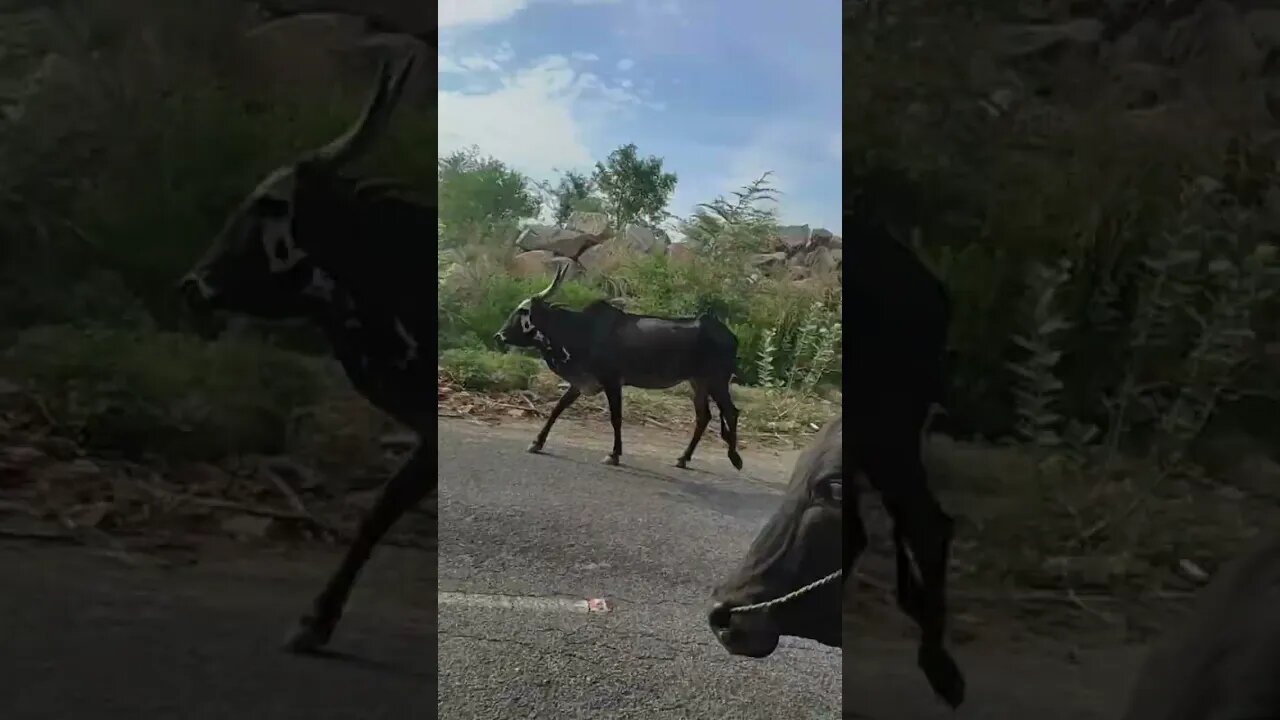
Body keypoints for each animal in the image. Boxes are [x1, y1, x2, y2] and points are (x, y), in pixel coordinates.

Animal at [175, 56, 437, 650]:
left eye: (269, 203)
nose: (192, 285)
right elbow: (382, 508)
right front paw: (318, 619)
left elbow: (382, 507)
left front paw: (317, 619)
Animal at [494, 263, 747, 471]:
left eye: (522, 312)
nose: (499, 335)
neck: (581, 330)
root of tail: (730, 335)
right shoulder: (582, 381)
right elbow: (558, 408)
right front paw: (537, 442)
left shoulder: (612, 381)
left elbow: (616, 417)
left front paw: (614, 454)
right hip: (699, 382)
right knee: (704, 417)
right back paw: (683, 458)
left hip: (717, 380)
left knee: (730, 412)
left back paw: (734, 458)